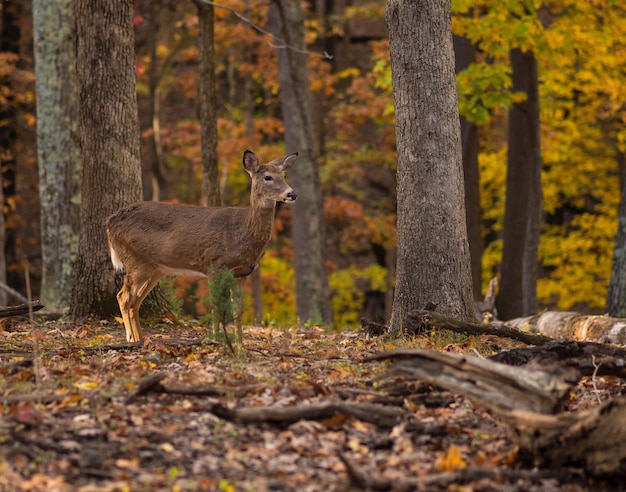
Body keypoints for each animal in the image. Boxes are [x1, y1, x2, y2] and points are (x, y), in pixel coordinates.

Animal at [105, 150, 298, 342]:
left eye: (284, 175)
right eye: (267, 177)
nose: (292, 194)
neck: (242, 233)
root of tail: (110, 221)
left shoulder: (242, 273)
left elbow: (238, 311)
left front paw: (240, 344)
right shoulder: (213, 264)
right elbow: (215, 307)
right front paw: (216, 340)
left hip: (155, 269)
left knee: (134, 302)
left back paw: (140, 340)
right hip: (136, 261)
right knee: (123, 297)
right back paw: (131, 337)